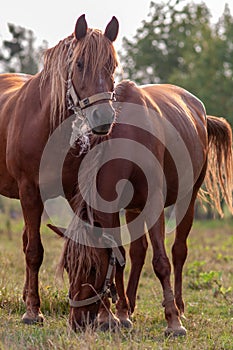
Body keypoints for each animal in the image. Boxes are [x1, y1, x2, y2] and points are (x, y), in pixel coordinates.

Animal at [0, 14, 120, 326]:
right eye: (79, 64)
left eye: (112, 65)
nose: (103, 117)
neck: (46, 123)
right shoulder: (30, 192)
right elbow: (34, 252)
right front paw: (33, 311)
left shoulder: (77, 191)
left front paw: (107, 316)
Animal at [57, 80, 232, 334]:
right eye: (69, 268)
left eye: (92, 269)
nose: (77, 321)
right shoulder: (113, 210)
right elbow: (120, 258)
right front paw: (116, 315)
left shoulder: (154, 205)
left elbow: (161, 262)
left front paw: (173, 321)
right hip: (134, 209)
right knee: (138, 252)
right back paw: (127, 308)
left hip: (187, 199)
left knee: (179, 251)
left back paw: (179, 306)